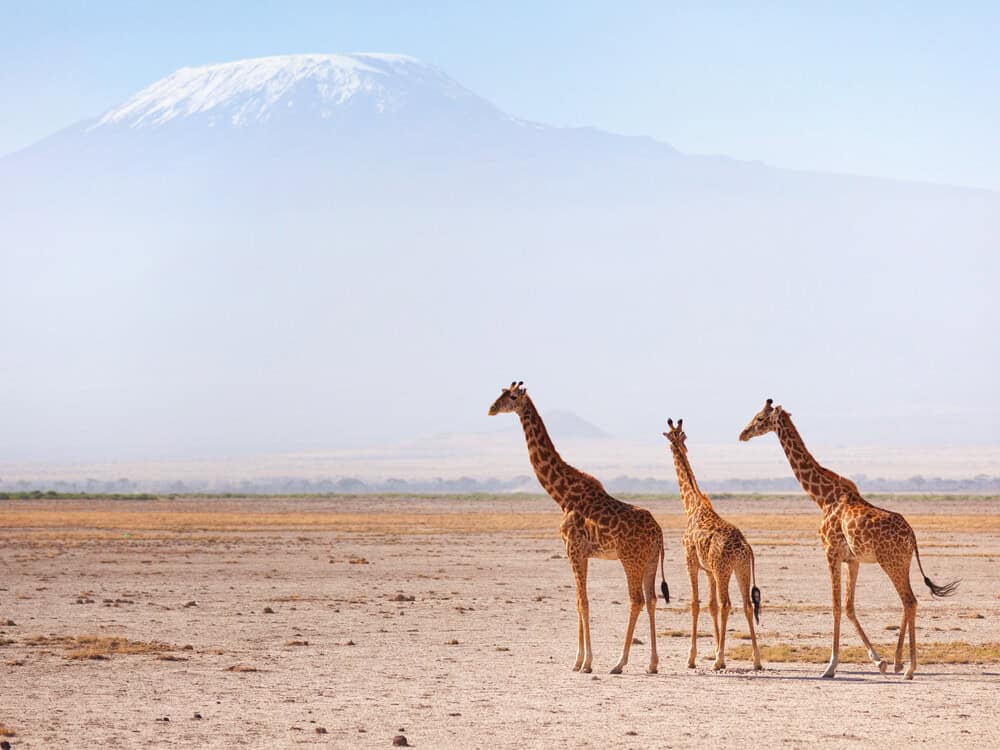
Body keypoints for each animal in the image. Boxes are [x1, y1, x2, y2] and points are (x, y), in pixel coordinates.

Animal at [488, 381, 669, 674]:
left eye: (512, 396)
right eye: (501, 392)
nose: (491, 408)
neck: (562, 496)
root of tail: (659, 534)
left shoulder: (573, 549)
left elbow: (582, 602)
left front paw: (585, 662)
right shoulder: (582, 553)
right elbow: (577, 601)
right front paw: (578, 660)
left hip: (630, 559)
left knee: (637, 600)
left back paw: (619, 663)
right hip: (650, 560)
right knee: (651, 600)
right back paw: (652, 664)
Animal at [664, 418, 762, 671]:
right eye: (682, 437)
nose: (683, 448)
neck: (691, 506)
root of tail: (745, 547)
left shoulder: (691, 563)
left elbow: (695, 604)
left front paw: (693, 658)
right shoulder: (708, 570)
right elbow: (711, 605)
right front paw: (716, 649)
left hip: (723, 569)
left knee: (728, 603)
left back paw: (719, 661)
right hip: (740, 569)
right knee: (747, 604)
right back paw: (757, 660)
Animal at [739, 398, 959, 679]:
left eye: (759, 418)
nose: (743, 434)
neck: (822, 497)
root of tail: (912, 534)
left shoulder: (830, 552)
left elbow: (835, 606)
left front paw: (830, 666)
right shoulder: (851, 560)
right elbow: (848, 606)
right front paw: (879, 661)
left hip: (891, 562)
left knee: (909, 600)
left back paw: (909, 667)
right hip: (903, 562)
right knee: (907, 602)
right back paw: (898, 662)